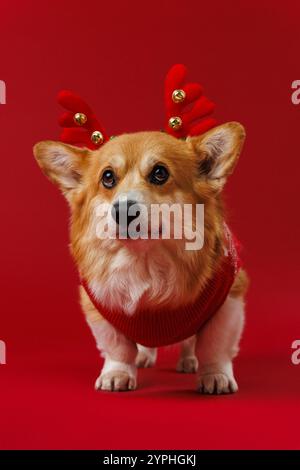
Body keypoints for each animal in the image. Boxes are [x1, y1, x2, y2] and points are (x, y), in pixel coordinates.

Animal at [34, 120, 248, 392]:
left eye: (160, 173)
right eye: (107, 177)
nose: (123, 210)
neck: (144, 260)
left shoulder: (228, 301)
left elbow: (214, 346)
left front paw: (215, 375)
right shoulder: (100, 308)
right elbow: (118, 348)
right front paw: (118, 374)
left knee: (190, 343)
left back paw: (189, 361)